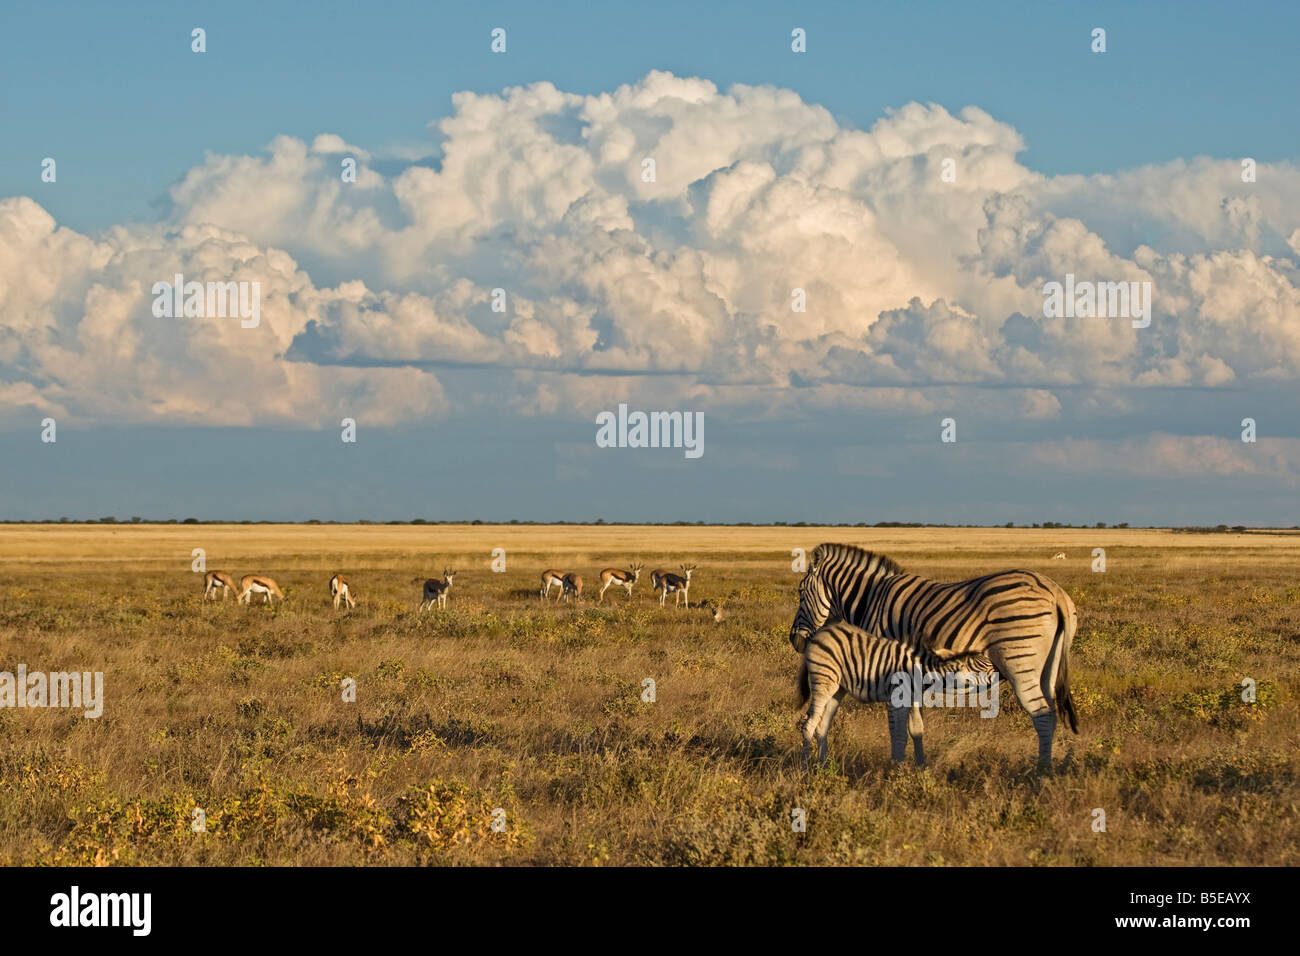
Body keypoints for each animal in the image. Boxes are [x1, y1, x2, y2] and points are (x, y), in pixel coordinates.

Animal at [798, 619, 995, 768]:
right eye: (985, 669)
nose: (1000, 678)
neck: (922, 671)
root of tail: (821, 632)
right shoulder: (897, 699)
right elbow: (900, 736)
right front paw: (898, 771)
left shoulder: (913, 699)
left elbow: (916, 731)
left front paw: (920, 768)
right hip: (823, 681)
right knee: (808, 724)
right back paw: (805, 768)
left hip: (838, 689)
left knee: (822, 727)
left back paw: (823, 766)